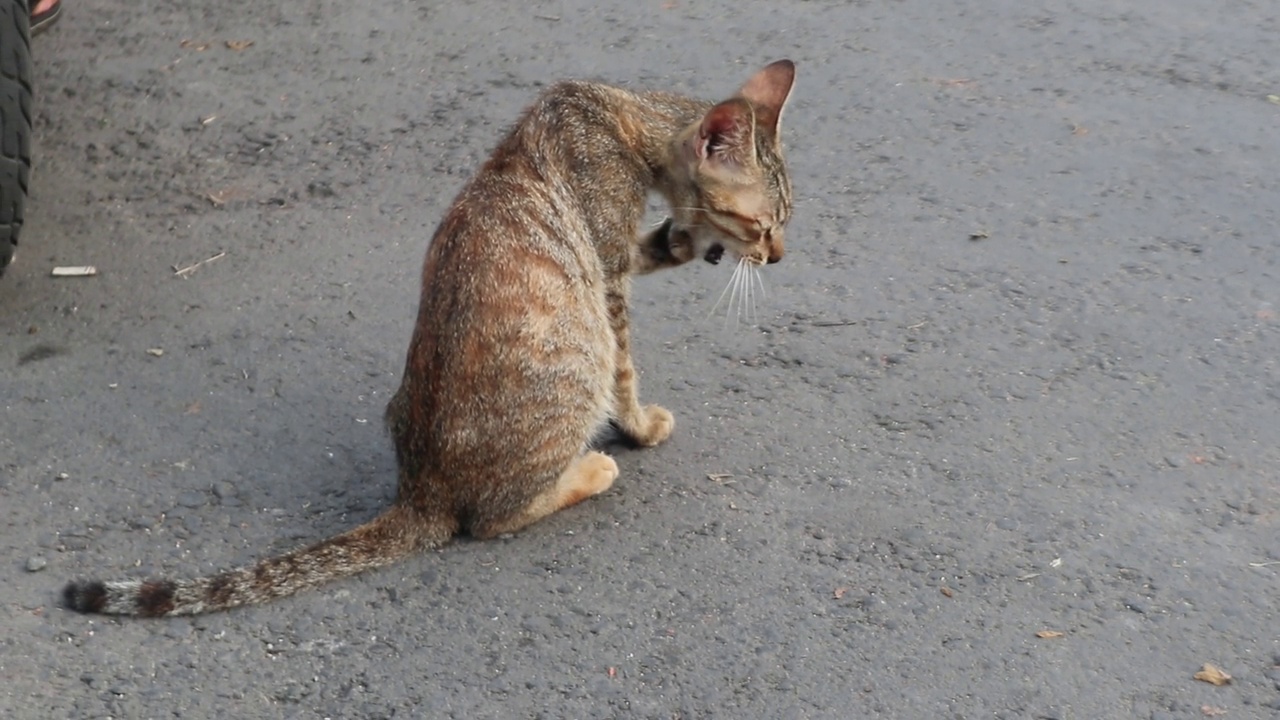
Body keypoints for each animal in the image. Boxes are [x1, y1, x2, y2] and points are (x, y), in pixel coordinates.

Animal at [67, 58, 798, 614]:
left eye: (784, 222)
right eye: (764, 225)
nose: (779, 257)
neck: (620, 116)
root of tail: (419, 493)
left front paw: (689, 239)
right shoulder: (608, 269)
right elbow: (626, 369)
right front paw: (641, 426)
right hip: (573, 368)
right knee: (492, 517)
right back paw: (590, 468)